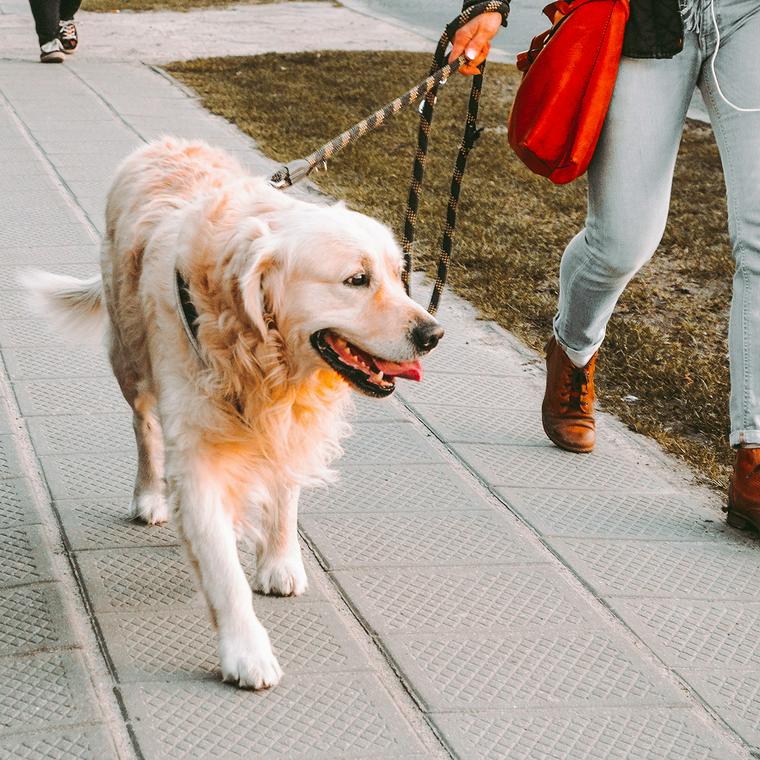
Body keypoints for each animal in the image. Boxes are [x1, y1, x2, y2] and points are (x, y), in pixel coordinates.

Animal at [23, 137, 442, 688]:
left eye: (398, 276)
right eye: (357, 279)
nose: (434, 334)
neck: (260, 353)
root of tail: (163, 142)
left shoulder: (287, 424)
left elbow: (284, 494)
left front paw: (279, 561)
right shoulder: (198, 456)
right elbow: (223, 571)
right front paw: (246, 651)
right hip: (130, 357)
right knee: (144, 425)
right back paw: (149, 495)